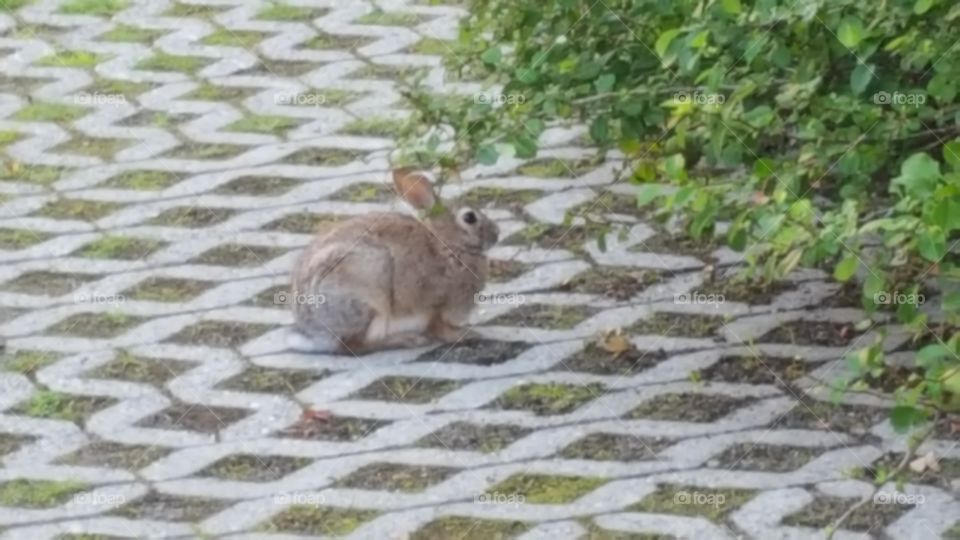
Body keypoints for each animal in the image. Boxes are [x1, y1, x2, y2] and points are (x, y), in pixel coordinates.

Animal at [286, 169, 498, 354]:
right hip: (368, 298)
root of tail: (314, 332)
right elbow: (437, 327)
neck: (446, 245)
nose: (497, 233)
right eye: (469, 217)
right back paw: (406, 340)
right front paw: (465, 335)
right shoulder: (435, 306)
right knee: (354, 345)